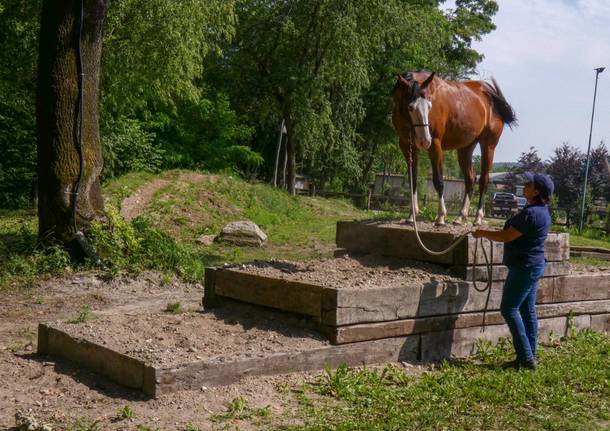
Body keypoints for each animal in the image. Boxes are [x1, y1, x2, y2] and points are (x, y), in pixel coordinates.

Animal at [392, 71, 516, 226]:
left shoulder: (435, 145)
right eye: (410, 107)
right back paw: (460, 217)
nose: (425, 140)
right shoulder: (407, 147)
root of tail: (489, 95)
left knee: (483, 181)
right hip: (465, 149)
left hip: (488, 146)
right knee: (470, 179)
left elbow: (438, 181)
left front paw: (441, 216)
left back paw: (478, 217)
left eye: (429, 106)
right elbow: (412, 180)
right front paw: (411, 216)